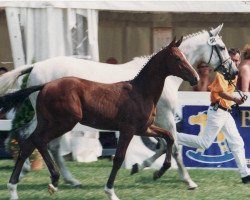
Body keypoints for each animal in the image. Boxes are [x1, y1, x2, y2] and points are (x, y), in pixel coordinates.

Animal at [0, 24, 236, 199]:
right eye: (222, 47)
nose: (232, 72)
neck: (141, 88)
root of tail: (39, 73)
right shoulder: (155, 120)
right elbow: (171, 146)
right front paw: (188, 181)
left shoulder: (147, 125)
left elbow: (165, 142)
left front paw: (144, 168)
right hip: (62, 122)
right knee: (38, 141)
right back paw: (45, 179)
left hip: (49, 120)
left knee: (32, 140)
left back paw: (40, 181)